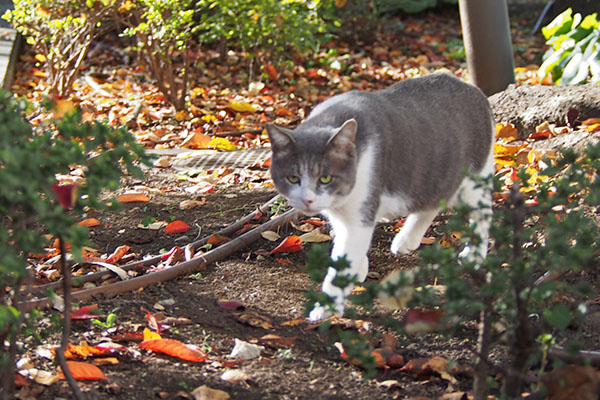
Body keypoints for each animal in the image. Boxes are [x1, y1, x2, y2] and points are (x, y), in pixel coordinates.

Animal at [264, 72, 494, 322]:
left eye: (325, 178)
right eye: (293, 178)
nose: (307, 200)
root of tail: (471, 88)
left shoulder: (360, 210)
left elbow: (343, 260)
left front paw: (326, 307)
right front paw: (359, 268)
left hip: (474, 179)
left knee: (483, 215)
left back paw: (474, 255)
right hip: (433, 174)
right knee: (431, 202)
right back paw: (406, 241)